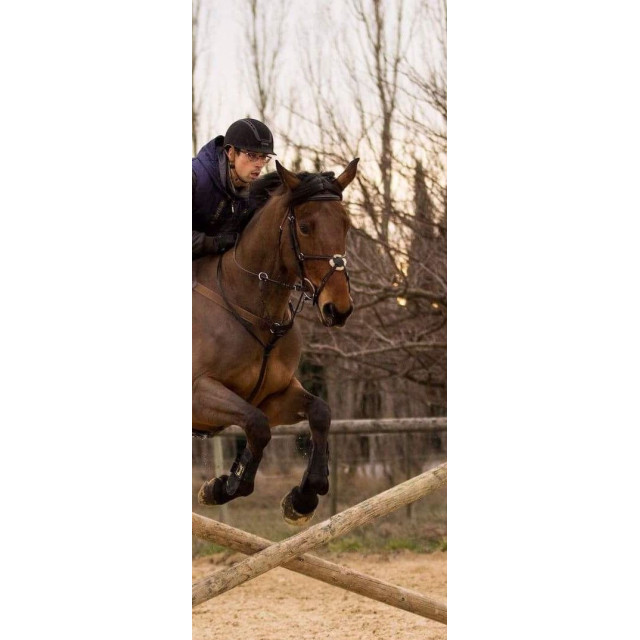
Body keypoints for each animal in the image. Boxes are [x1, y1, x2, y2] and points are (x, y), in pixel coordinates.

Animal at [192, 158, 359, 525]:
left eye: (346, 225)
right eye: (305, 228)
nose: (338, 309)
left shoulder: (273, 397)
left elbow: (319, 411)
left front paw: (303, 497)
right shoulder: (198, 392)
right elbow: (257, 426)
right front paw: (223, 486)